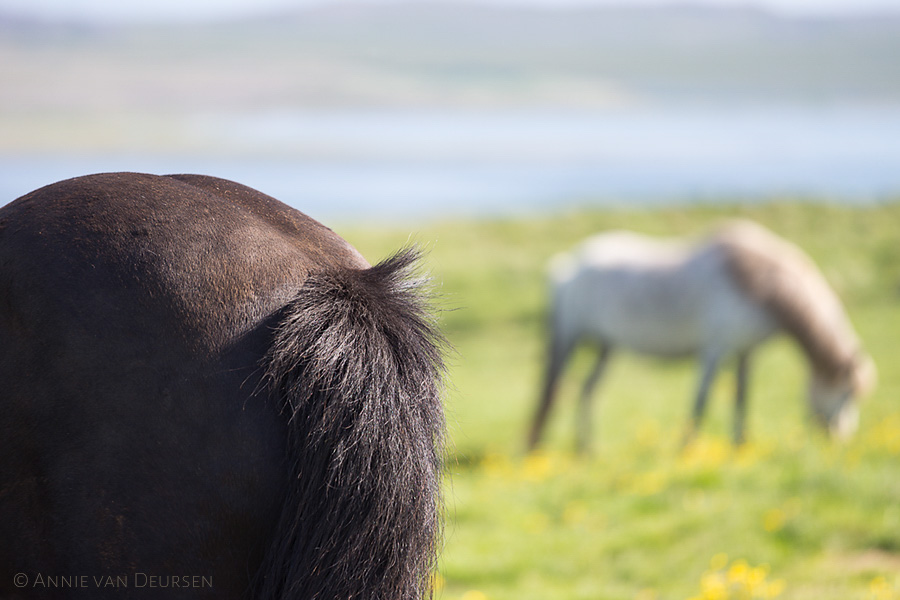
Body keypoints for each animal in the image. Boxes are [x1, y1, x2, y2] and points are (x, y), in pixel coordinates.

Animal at [532, 223, 876, 452]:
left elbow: (741, 397)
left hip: (607, 345)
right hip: (571, 336)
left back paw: (586, 449)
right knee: (552, 391)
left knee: (587, 389)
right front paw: (687, 448)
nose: (840, 438)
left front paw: (740, 445)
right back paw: (542, 447)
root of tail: (568, 266)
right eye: (848, 393)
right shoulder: (715, 348)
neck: (762, 285)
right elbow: (701, 400)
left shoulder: (745, 351)